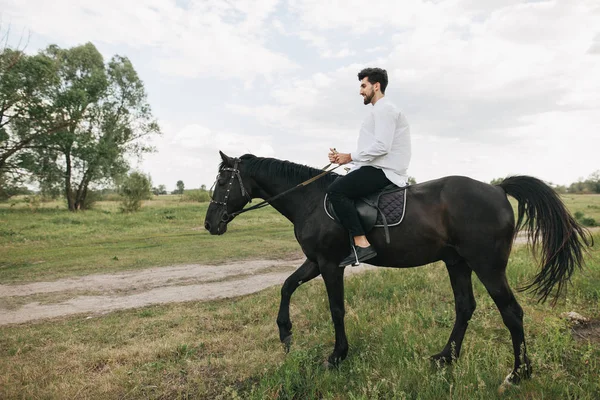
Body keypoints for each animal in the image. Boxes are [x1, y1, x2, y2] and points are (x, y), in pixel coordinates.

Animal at [203, 152, 592, 386]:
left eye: (223, 182)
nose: (210, 224)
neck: (310, 200)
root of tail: (497, 189)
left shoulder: (330, 265)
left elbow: (336, 309)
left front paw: (337, 356)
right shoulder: (314, 261)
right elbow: (286, 286)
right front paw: (285, 333)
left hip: (487, 266)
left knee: (511, 312)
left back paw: (518, 373)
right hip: (458, 263)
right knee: (465, 307)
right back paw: (445, 358)